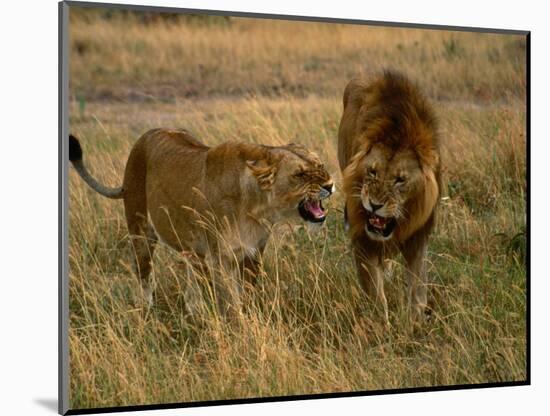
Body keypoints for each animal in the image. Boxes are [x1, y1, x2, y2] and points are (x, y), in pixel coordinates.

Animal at [69, 130, 336, 318]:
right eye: (300, 175)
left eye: (320, 166)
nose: (330, 185)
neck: (257, 206)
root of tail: (145, 136)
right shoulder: (221, 257)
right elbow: (230, 302)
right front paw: (238, 331)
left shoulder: (253, 252)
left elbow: (247, 295)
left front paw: (251, 319)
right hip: (140, 230)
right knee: (144, 276)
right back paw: (146, 313)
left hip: (192, 248)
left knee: (192, 276)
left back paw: (194, 311)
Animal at [338, 71, 442, 324]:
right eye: (372, 172)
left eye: (400, 180)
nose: (374, 206)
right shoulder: (362, 236)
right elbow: (376, 294)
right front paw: (381, 328)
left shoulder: (418, 235)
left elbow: (417, 287)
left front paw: (414, 324)